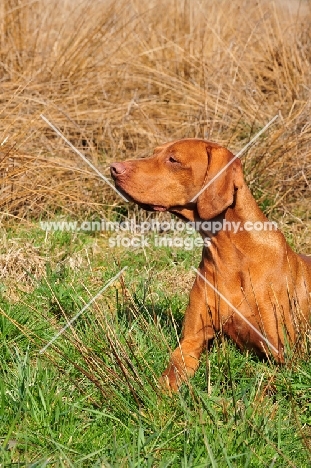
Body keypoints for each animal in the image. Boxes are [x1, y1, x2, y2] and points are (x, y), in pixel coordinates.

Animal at [110, 139, 311, 392]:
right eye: (155, 153)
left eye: (173, 159)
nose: (114, 168)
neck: (231, 254)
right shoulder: (192, 340)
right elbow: (173, 367)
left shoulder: (287, 354)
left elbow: (273, 384)